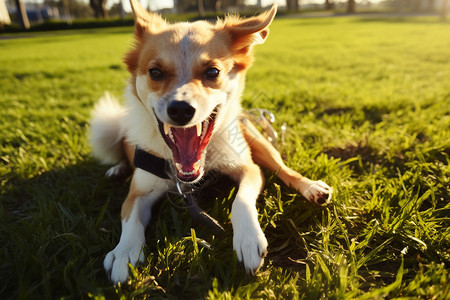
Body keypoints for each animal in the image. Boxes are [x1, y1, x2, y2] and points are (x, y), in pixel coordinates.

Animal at [90, 0, 330, 284]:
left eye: (212, 72)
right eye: (155, 72)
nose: (180, 109)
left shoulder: (248, 168)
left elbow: (241, 200)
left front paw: (248, 239)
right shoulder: (139, 191)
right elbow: (130, 220)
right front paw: (124, 252)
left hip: (257, 141)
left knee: (283, 169)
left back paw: (311, 187)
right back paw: (117, 169)